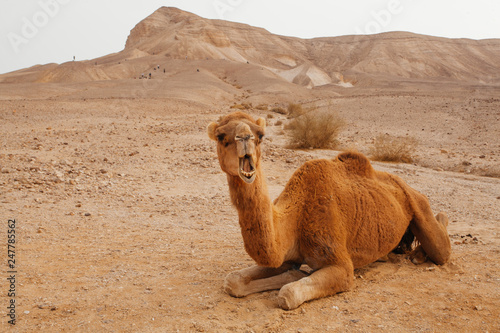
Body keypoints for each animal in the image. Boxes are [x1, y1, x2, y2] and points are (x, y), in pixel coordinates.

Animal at [205, 111, 452, 308]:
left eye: (260, 135)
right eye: (221, 136)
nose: (244, 138)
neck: (296, 216)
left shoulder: (342, 267)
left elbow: (288, 294)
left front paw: (293, 278)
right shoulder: (285, 255)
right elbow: (233, 281)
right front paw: (293, 273)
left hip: (418, 204)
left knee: (441, 245)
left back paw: (421, 252)